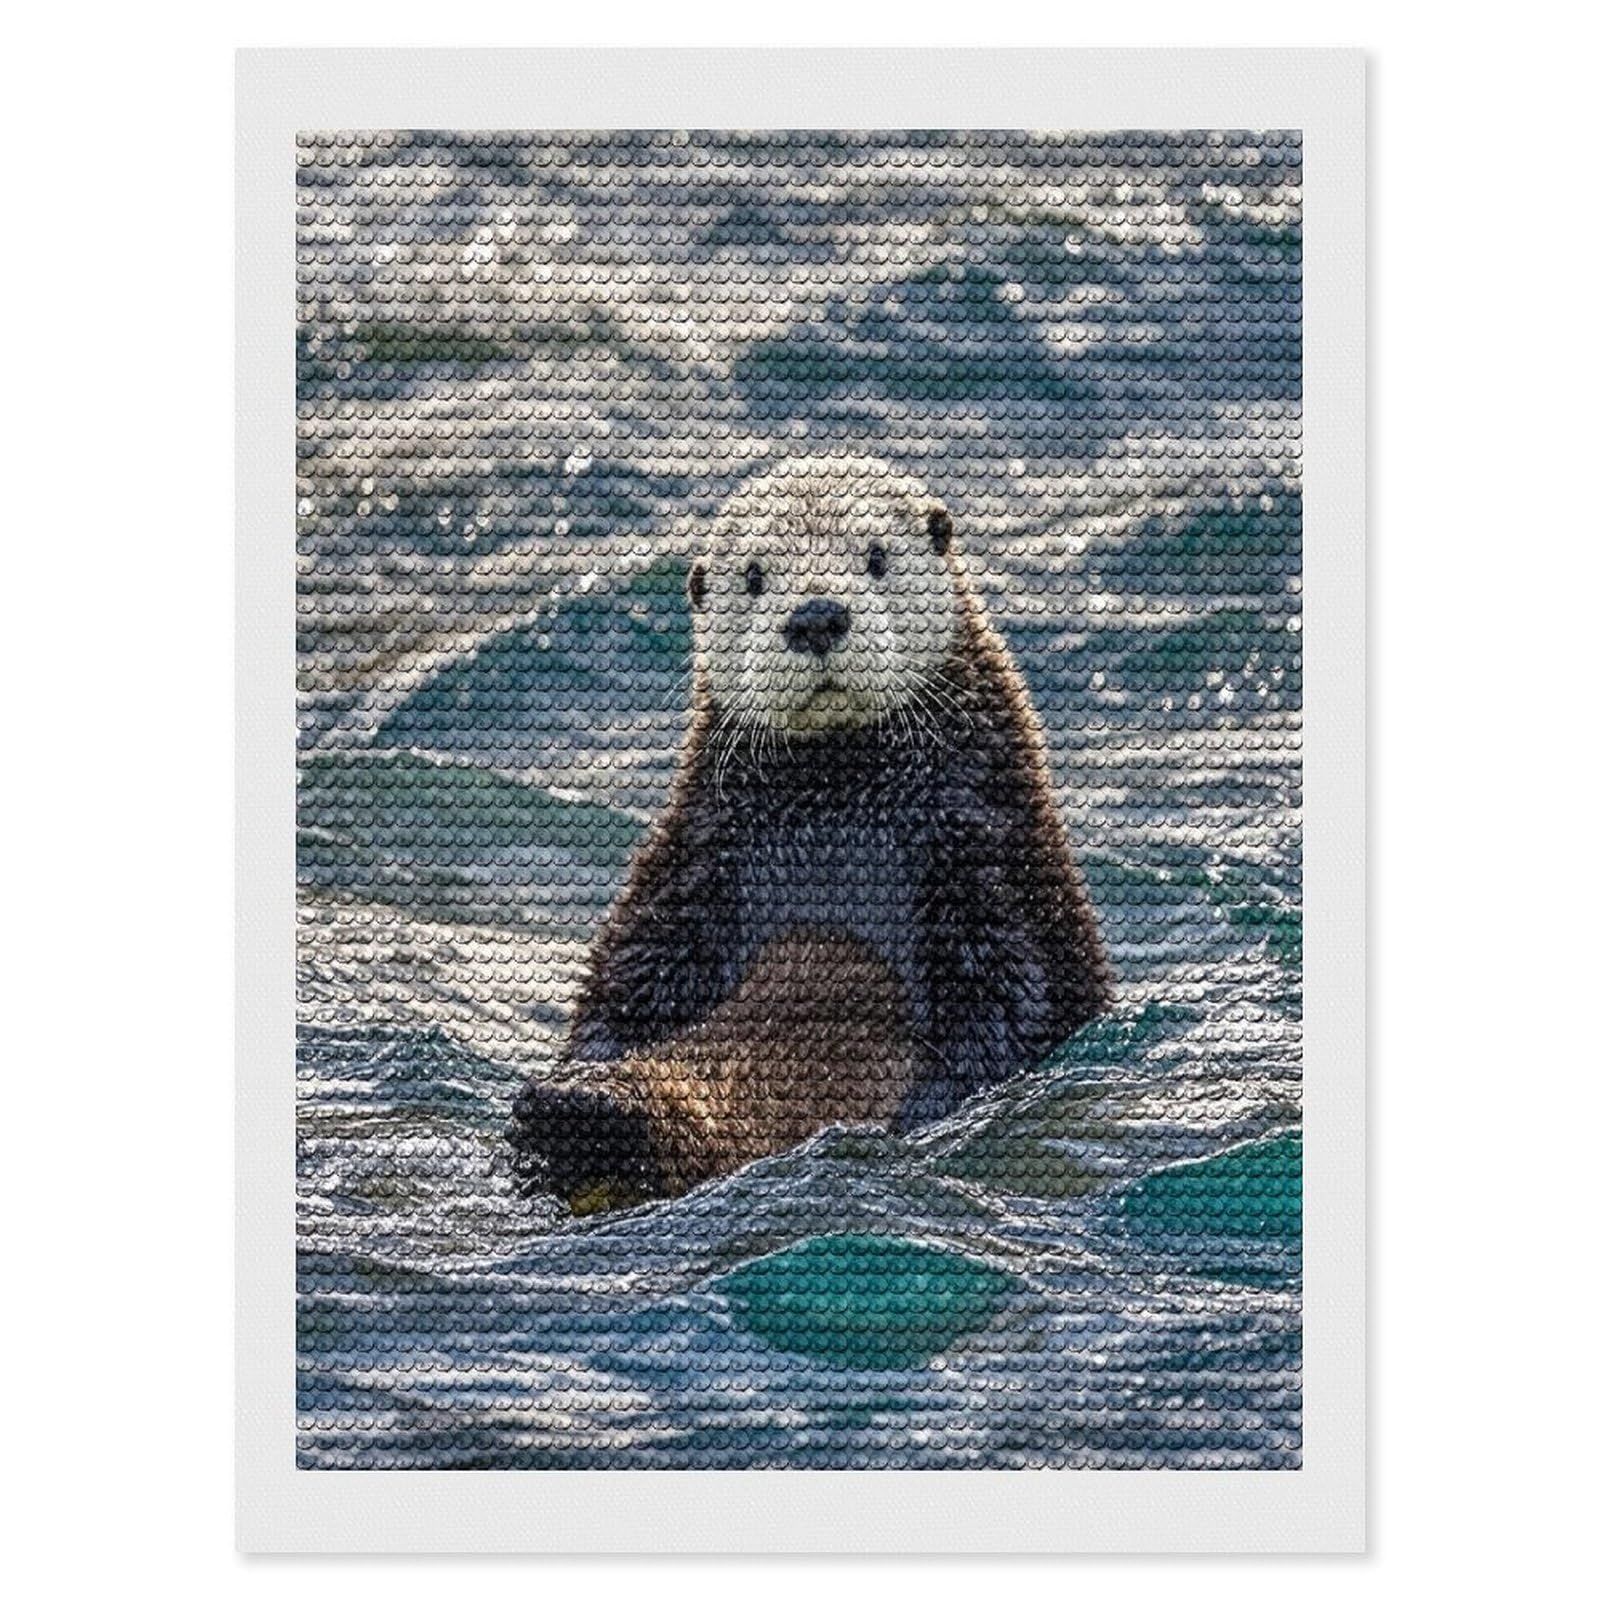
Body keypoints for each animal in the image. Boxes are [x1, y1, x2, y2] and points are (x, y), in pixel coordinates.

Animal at [511, 456, 1112, 1209]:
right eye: (754, 576)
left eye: (877, 557)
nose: (816, 616)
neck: (836, 801)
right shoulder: (692, 865)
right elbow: (627, 984)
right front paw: (574, 1083)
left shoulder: (987, 856)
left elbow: (1004, 1004)